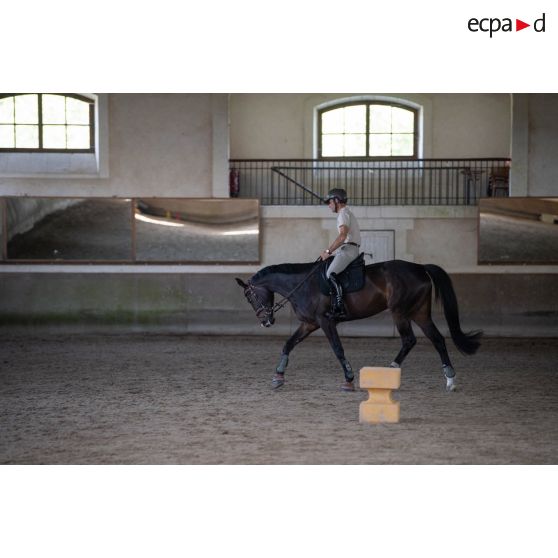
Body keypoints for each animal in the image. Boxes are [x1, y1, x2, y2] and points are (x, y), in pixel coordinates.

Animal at [234, 260, 484, 392]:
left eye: (249, 296)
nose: (266, 321)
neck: (302, 286)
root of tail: (420, 267)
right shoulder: (310, 323)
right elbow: (288, 344)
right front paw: (278, 377)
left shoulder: (325, 321)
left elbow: (338, 349)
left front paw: (349, 379)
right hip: (419, 313)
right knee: (436, 339)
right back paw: (448, 380)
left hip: (401, 312)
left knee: (410, 340)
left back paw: (393, 370)